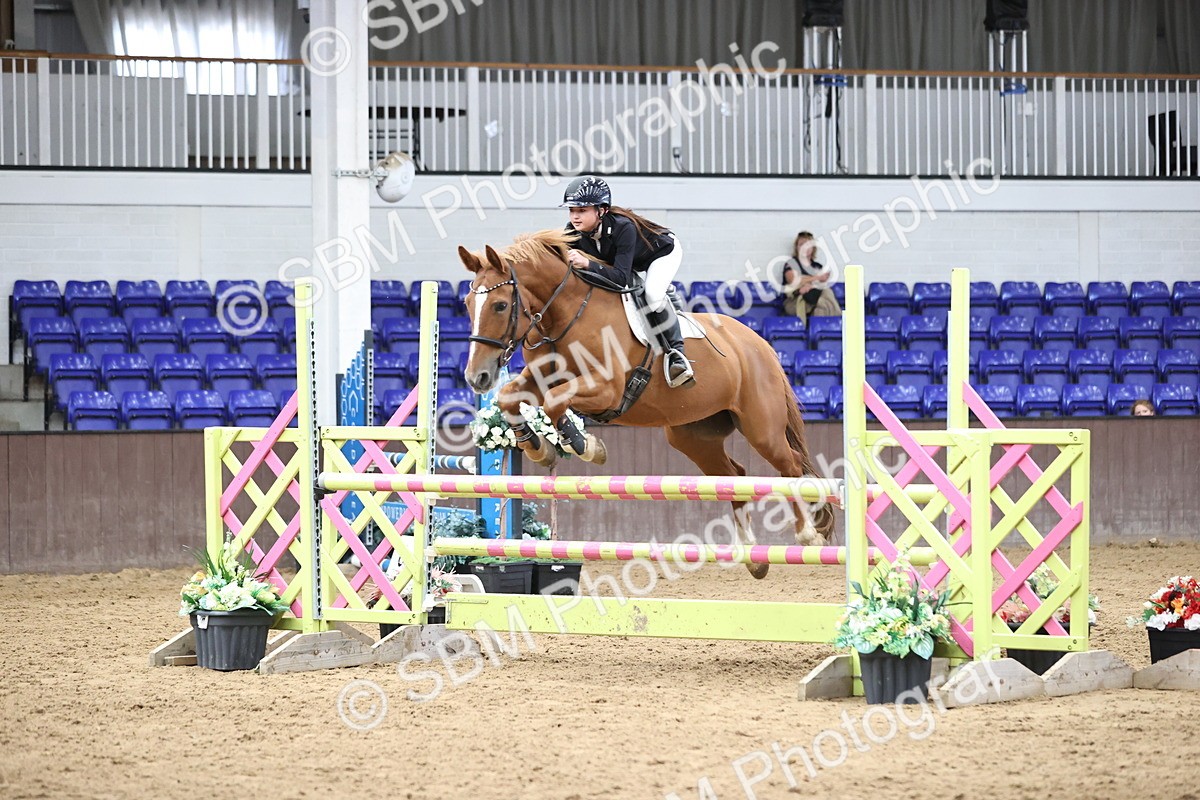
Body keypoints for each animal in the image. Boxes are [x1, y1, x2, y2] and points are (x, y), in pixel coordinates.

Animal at [456, 229, 835, 578]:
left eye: (500, 305)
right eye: (467, 304)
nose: (477, 377)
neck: (566, 314)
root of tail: (760, 344)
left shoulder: (605, 390)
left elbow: (553, 403)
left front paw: (585, 446)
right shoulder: (539, 379)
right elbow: (510, 397)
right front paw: (538, 448)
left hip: (761, 429)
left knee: (790, 467)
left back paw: (808, 534)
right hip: (692, 436)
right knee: (734, 476)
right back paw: (752, 556)